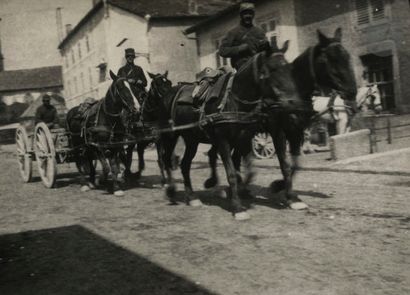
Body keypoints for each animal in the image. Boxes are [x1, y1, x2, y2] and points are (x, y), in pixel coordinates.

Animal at [65, 70, 139, 198]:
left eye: (132, 86)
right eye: (121, 87)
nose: (137, 108)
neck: (108, 118)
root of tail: (70, 112)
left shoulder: (114, 146)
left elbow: (114, 167)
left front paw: (116, 188)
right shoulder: (98, 146)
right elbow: (106, 168)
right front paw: (101, 180)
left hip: (87, 146)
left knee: (88, 159)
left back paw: (91, 180)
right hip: (76, 143)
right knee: (79, 160)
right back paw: (84, 184)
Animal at [159, 40, 302, 220]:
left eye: (290, 69)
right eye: (273, 70)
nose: (294, 104)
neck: (236, 99)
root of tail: (170, 92)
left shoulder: (256, 136)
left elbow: (280, 166)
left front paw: (291, 198)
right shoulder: (224, 141)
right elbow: (232, 173)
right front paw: (237, 207)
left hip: (192, 138)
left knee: (185, 164)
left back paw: (192, 197)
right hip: (170, 136)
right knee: (167, 160)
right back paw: (171, 191)